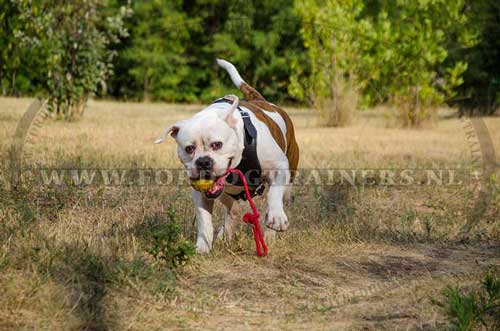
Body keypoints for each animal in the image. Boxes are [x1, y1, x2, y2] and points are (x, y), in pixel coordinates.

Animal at [155, 59, 296, 254]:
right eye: (189, 148)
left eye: (217, 144)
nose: (203, 162)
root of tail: (261, 100)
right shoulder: (200, 194)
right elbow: (204, 220)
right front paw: (203, 246)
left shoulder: (279, 167)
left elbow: (274, 194)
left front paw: (276, 216)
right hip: (228, 195)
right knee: (231, 211)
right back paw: (225, 234)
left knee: (281, 195)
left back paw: (269, 233)